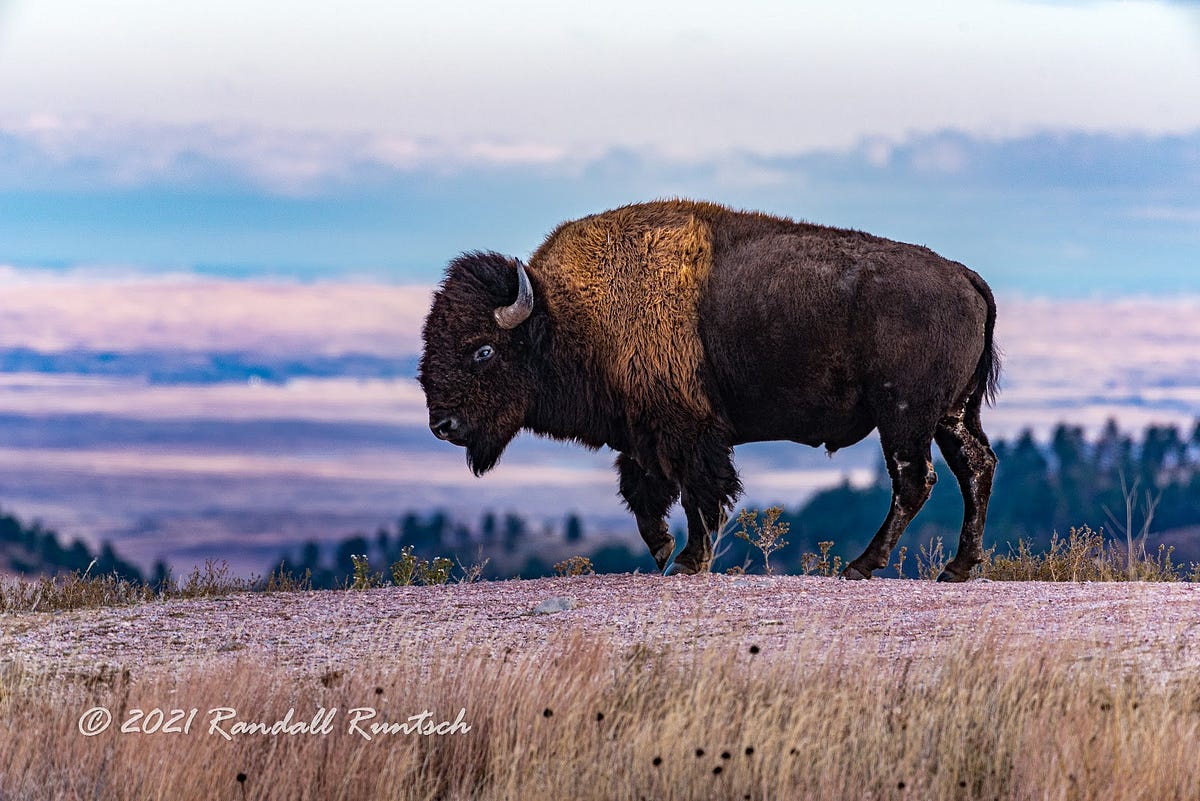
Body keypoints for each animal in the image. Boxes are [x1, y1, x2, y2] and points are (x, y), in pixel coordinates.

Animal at [419, 200, 999, 580]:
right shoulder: (643, 434)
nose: (441, 425)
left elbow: (699, 493)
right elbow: (645, 494)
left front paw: (685, 561)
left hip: (904, 416)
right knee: (976, 467)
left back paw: (861, 566)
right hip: (951, 415)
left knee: (914, 480)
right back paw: (957, 568)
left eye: (483, 350)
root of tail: (965, 277)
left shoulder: (688, 432)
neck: (568, 315)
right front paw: (662, 551)